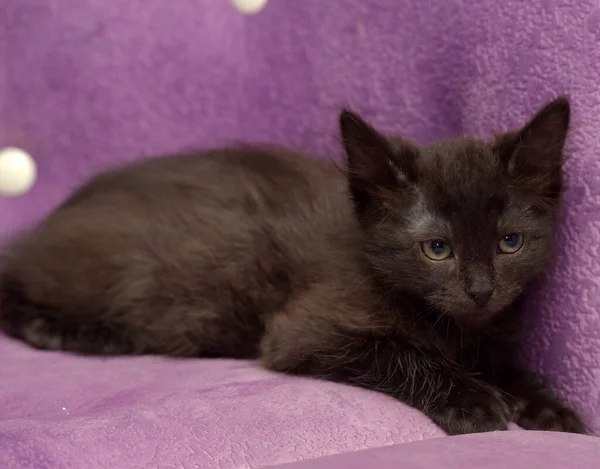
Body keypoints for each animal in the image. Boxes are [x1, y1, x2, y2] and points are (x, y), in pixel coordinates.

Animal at [0, 97, 584, 434]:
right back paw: (70, 330)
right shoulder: (302, 329)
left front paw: (540, 403)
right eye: (437, 249)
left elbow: (498, 362)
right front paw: (472, 399)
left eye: (510, 242)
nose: (481, 290)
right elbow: (401, 351)